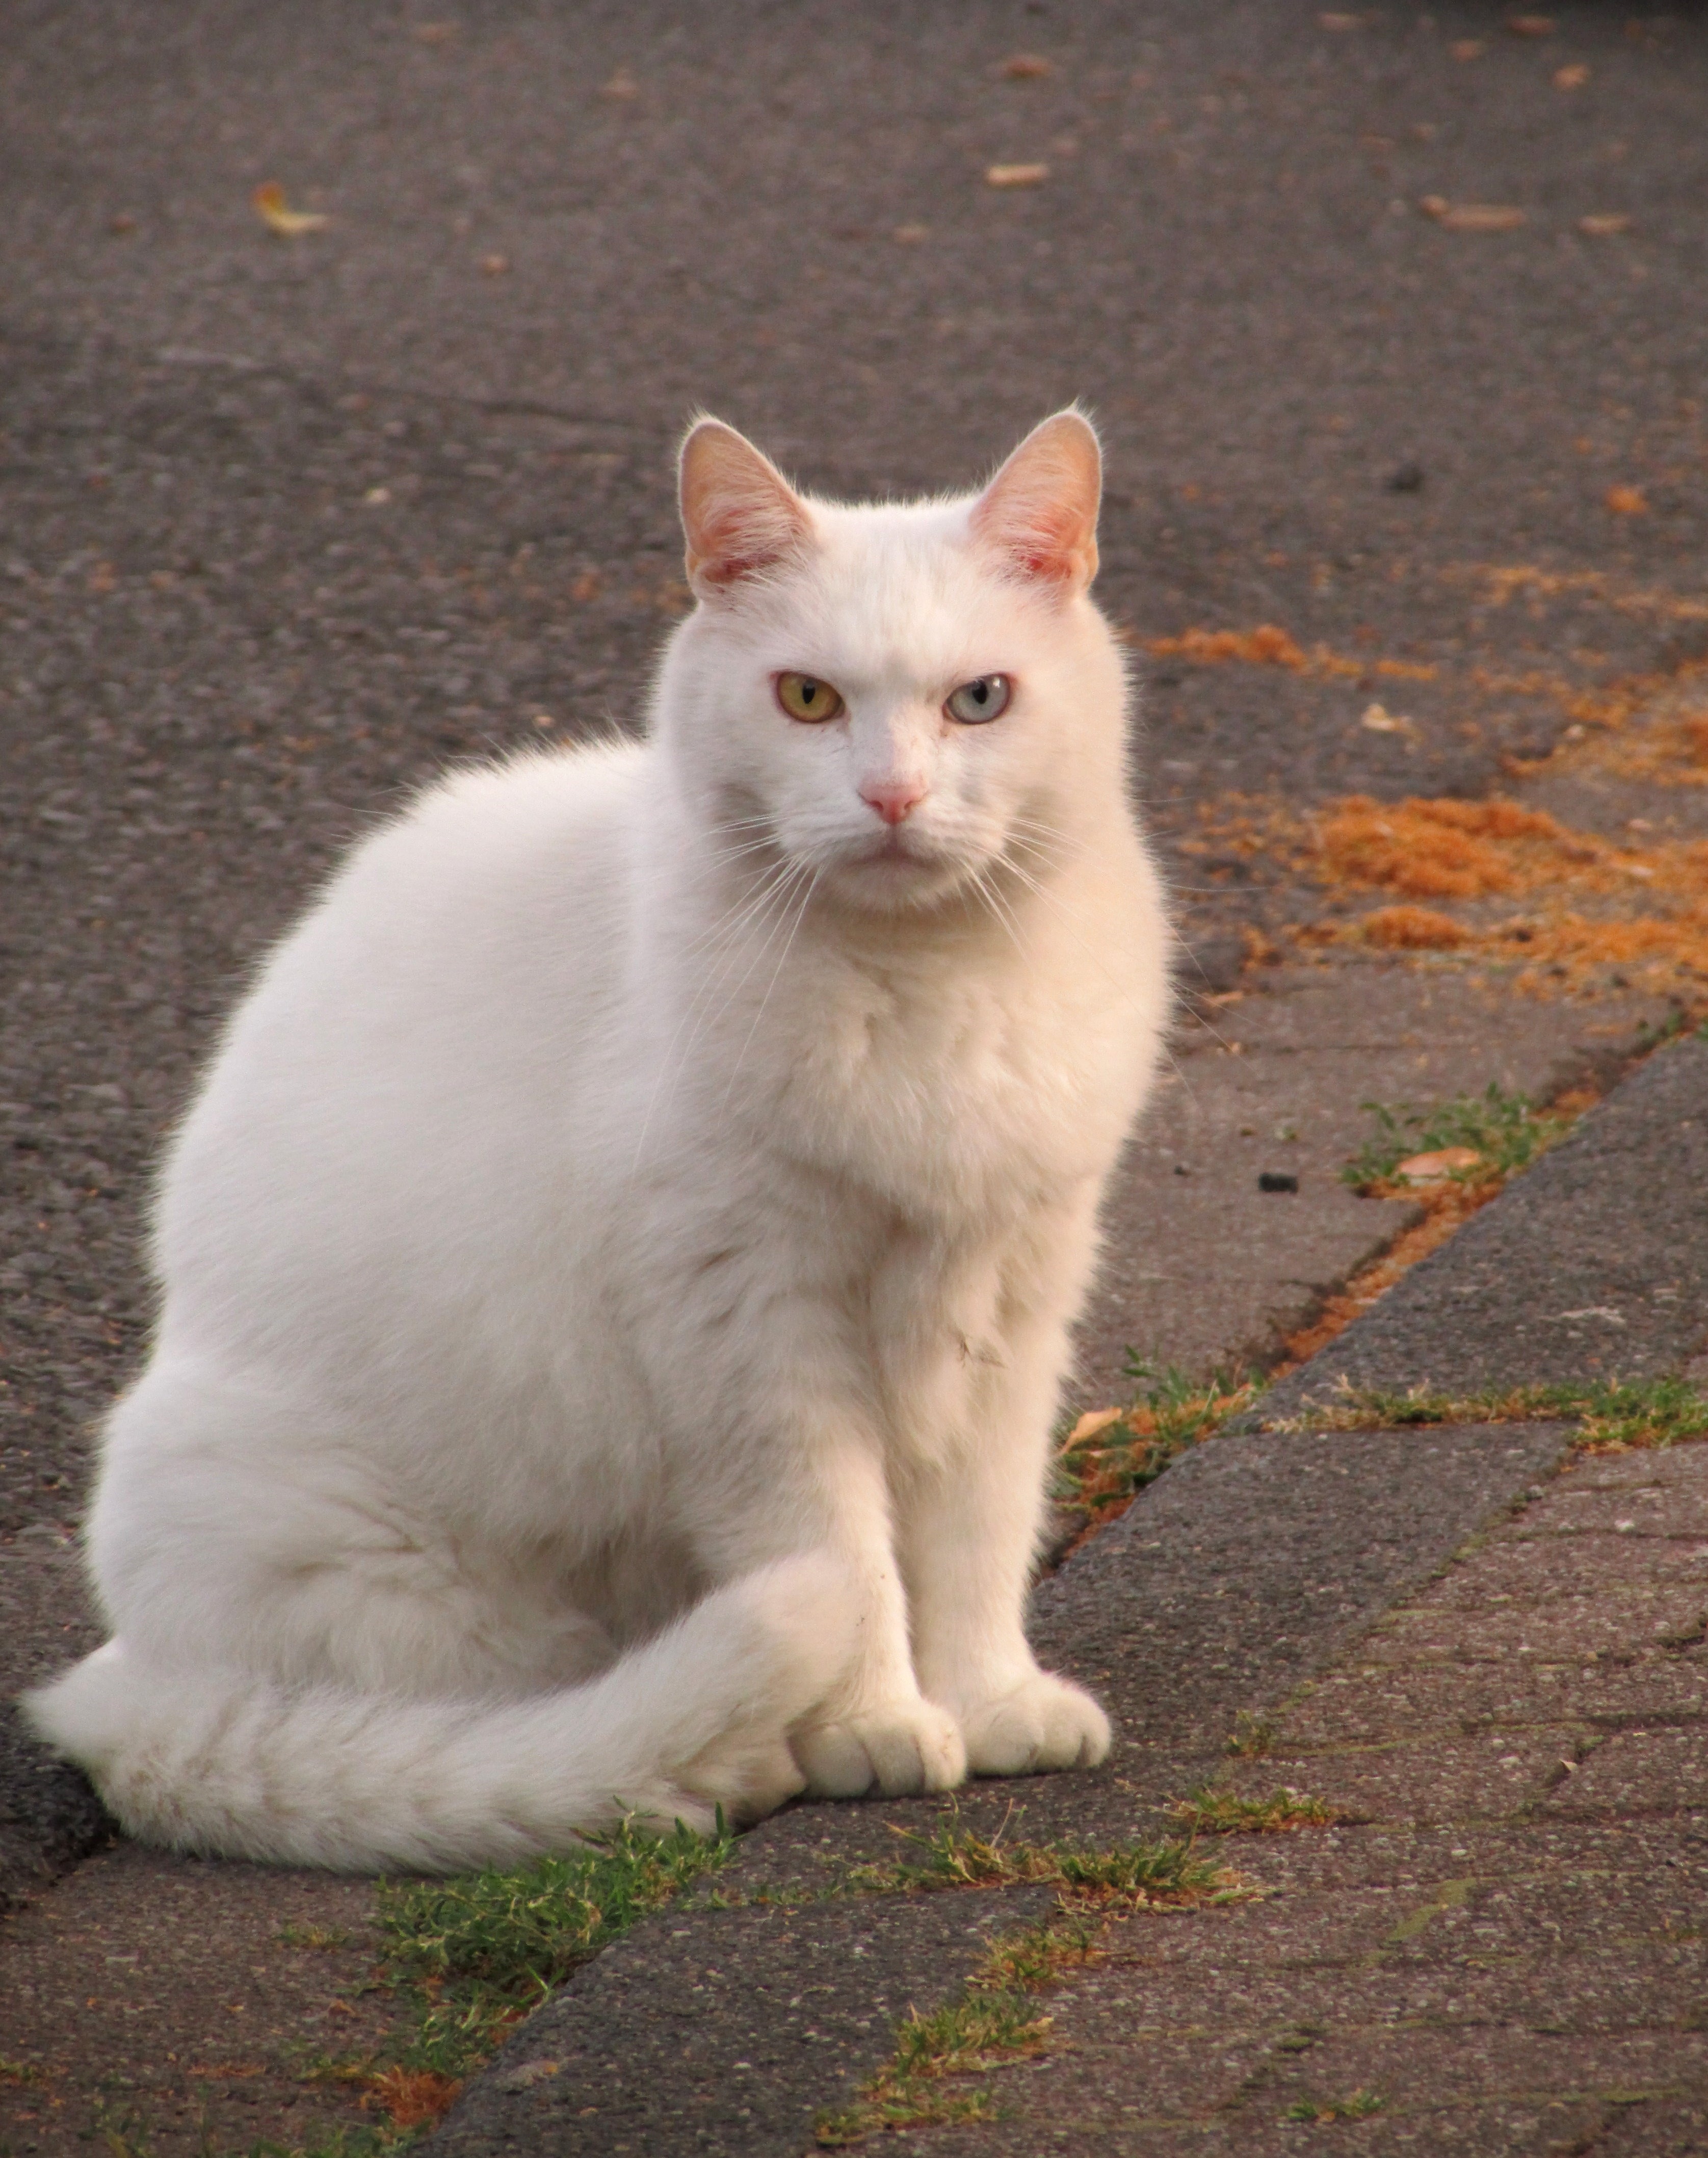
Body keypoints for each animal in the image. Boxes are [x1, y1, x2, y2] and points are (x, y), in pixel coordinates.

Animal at [27, 408, 1166, 1873]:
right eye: (807, 700)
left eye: (980, 700)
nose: (892, 797)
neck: (926, 987)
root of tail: (125, 1684)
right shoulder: (749, 1326)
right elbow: (839, 1546)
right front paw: (874, 1720)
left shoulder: (1009, 1298)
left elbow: (977, 1531)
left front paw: (987, 1698)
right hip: (397, 1568)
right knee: (479, 1719)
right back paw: (726, 1753)